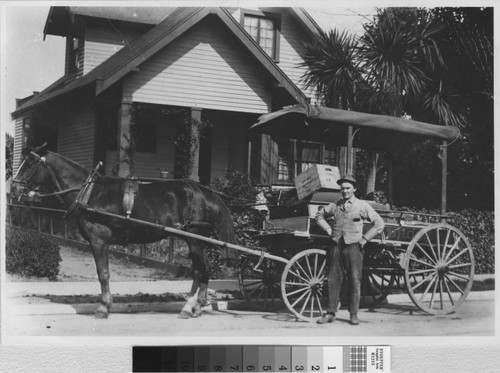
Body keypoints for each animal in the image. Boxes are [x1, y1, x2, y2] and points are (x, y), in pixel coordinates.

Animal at [10, 147, 237, 318]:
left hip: (193, 239)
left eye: (29, 163)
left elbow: (103, 274)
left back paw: (189, 307)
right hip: (197, 240)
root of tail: (206, 193)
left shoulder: (98, 241)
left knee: (200, 270)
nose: (13, 188)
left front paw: (103, 307)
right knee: (205, 269)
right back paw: (198, 306)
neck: (89, 193)